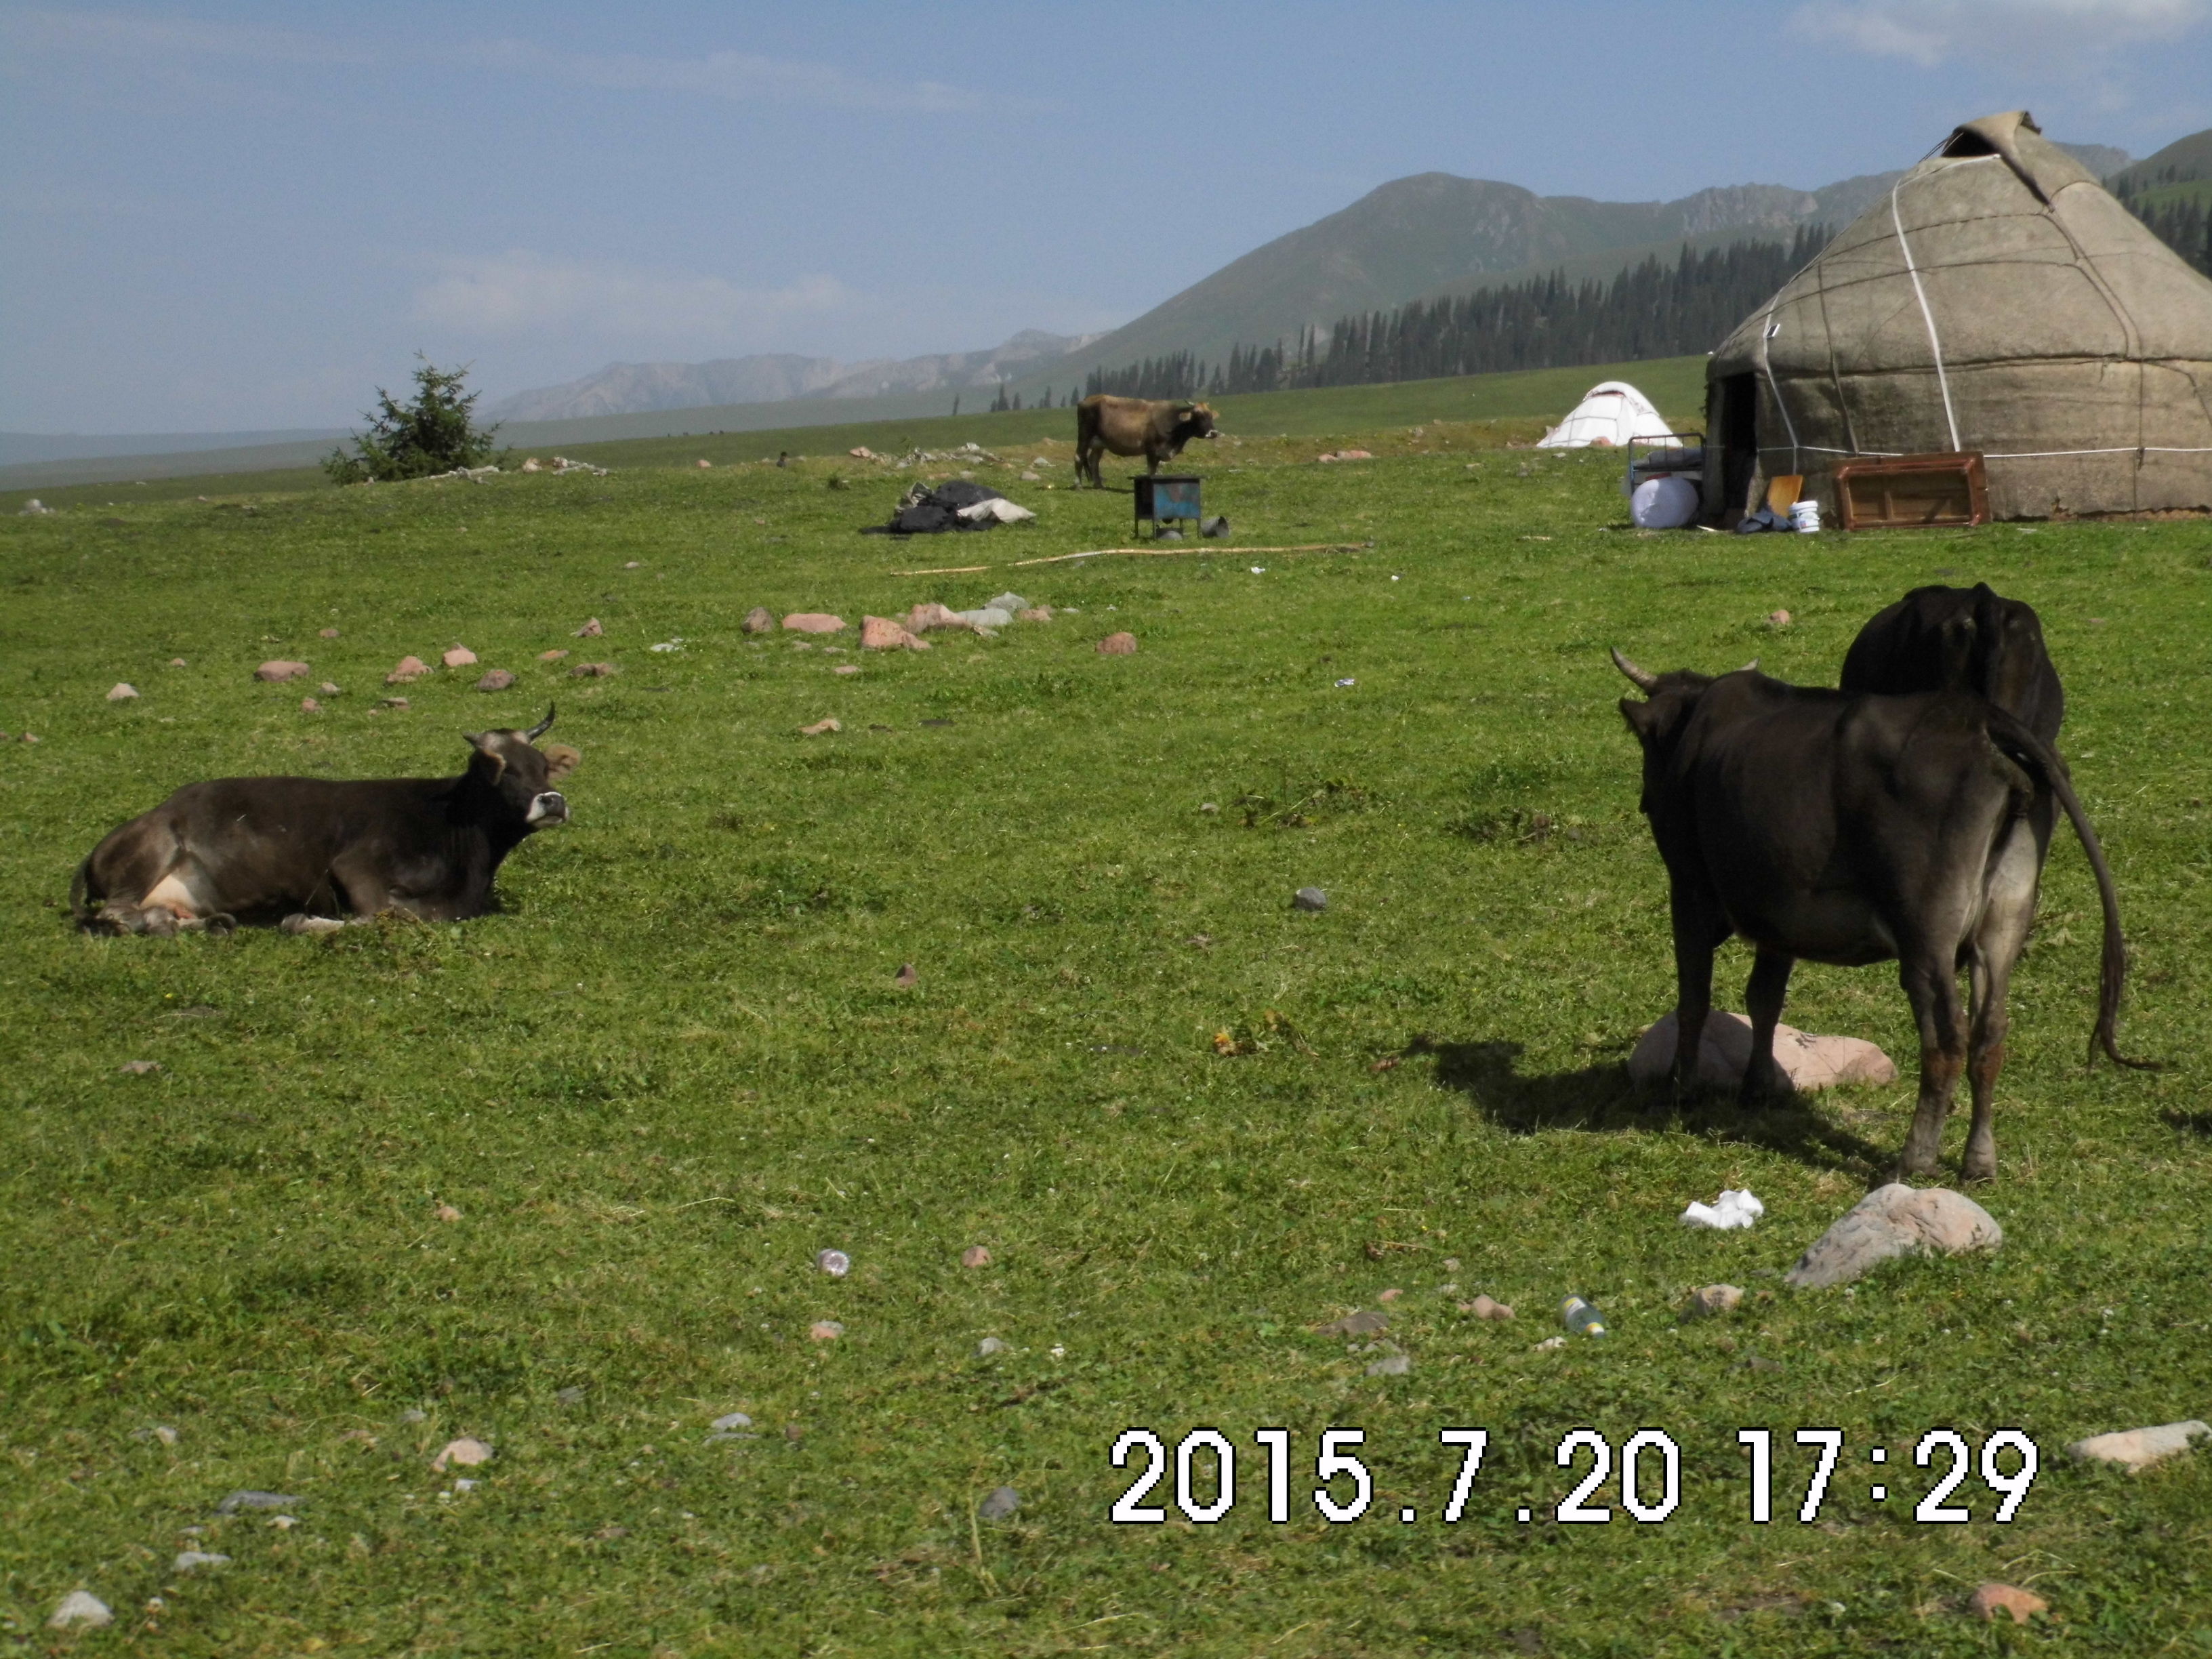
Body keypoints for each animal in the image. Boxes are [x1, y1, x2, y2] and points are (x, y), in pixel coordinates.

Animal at [75, 703, 579, 937]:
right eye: (504, 771)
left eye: (542, 766)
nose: (552, 801)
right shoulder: (354, 865)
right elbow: (386, 915)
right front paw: (302, 921)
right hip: (156, 847)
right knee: (117, 913)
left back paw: (210, 923)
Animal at [1066, 396, 1212, 487]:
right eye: (1198, 415)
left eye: (1211, 416)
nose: (1213, 433)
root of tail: (1085, 400)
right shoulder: (1151, 450)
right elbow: (1151, 471)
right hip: (1085, 436)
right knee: (1079, 457)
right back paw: (1078, 485)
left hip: (1099, 444)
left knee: (1094, 461)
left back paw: (1098, 484)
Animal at [1610, 650, 2141, 1185]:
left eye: (1647, 747)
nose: (1644, 799)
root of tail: (1979, 717)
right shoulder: (1780, 915)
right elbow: (1765, 999)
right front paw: (1756, 1089)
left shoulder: (1690, 888)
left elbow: (1693, 999)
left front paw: (1680, 1092)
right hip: (2004, 919)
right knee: (1990, 1033)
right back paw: (1979, 1161)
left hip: (1926, 926)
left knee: (1947, 1037)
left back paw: (1914, 1158)